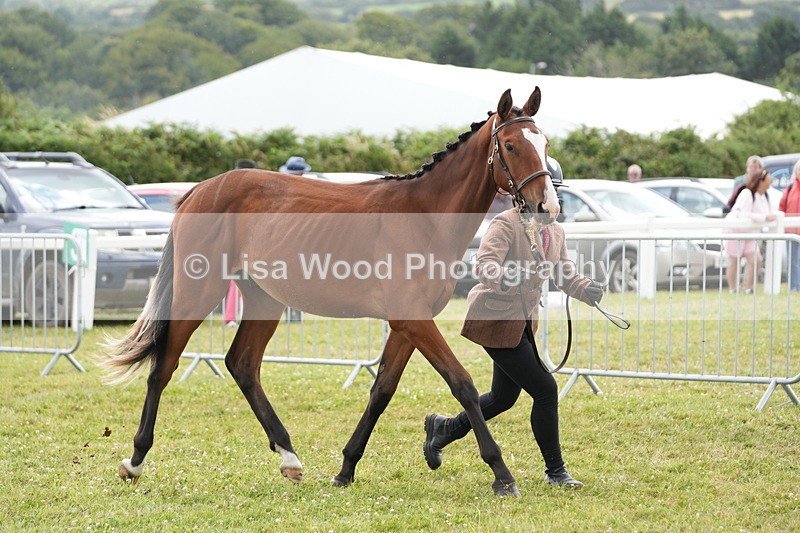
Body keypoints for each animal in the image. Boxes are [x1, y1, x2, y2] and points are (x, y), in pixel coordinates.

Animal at [104, 87, 560, 497]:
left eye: (545, 143)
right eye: (512, 145)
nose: (547, 208)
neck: (424, 216)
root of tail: (198, 190)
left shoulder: (407, 325)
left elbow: (382, 391)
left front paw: (346, 468)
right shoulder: (413, 319)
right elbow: (461, 383)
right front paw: (502, 474)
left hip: (264, 299)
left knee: (243, 364)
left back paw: (289, 457)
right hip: (198, 291)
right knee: (164, 366)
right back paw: (135, 461)